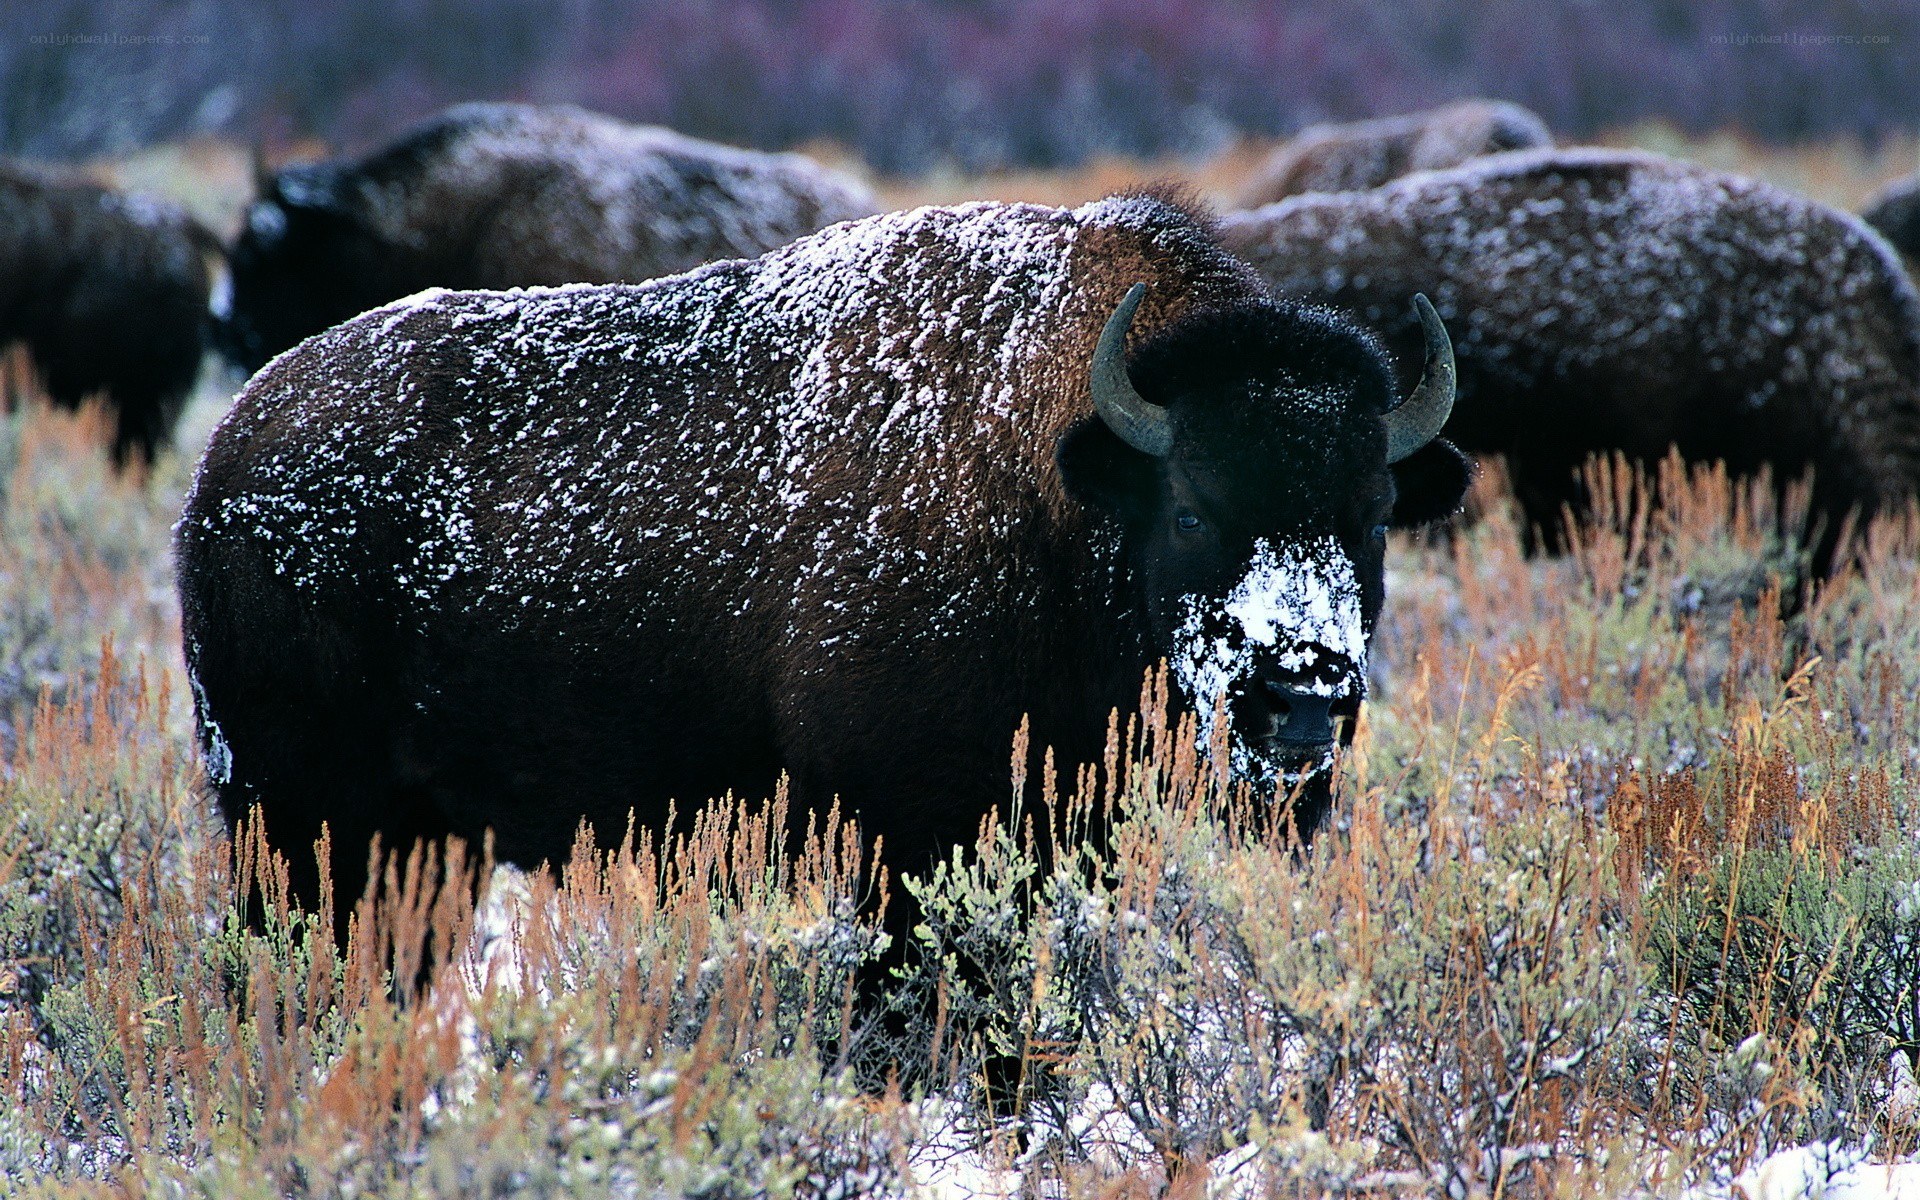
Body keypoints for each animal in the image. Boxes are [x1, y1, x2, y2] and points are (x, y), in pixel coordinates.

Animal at [178, 193, 1470, 953]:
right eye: (1195, 508)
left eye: (1373, 515)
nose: (1303, 699)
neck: (1060, 476)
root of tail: (230, 452)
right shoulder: (911, 832)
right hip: (296, 820)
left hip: (420, 845)